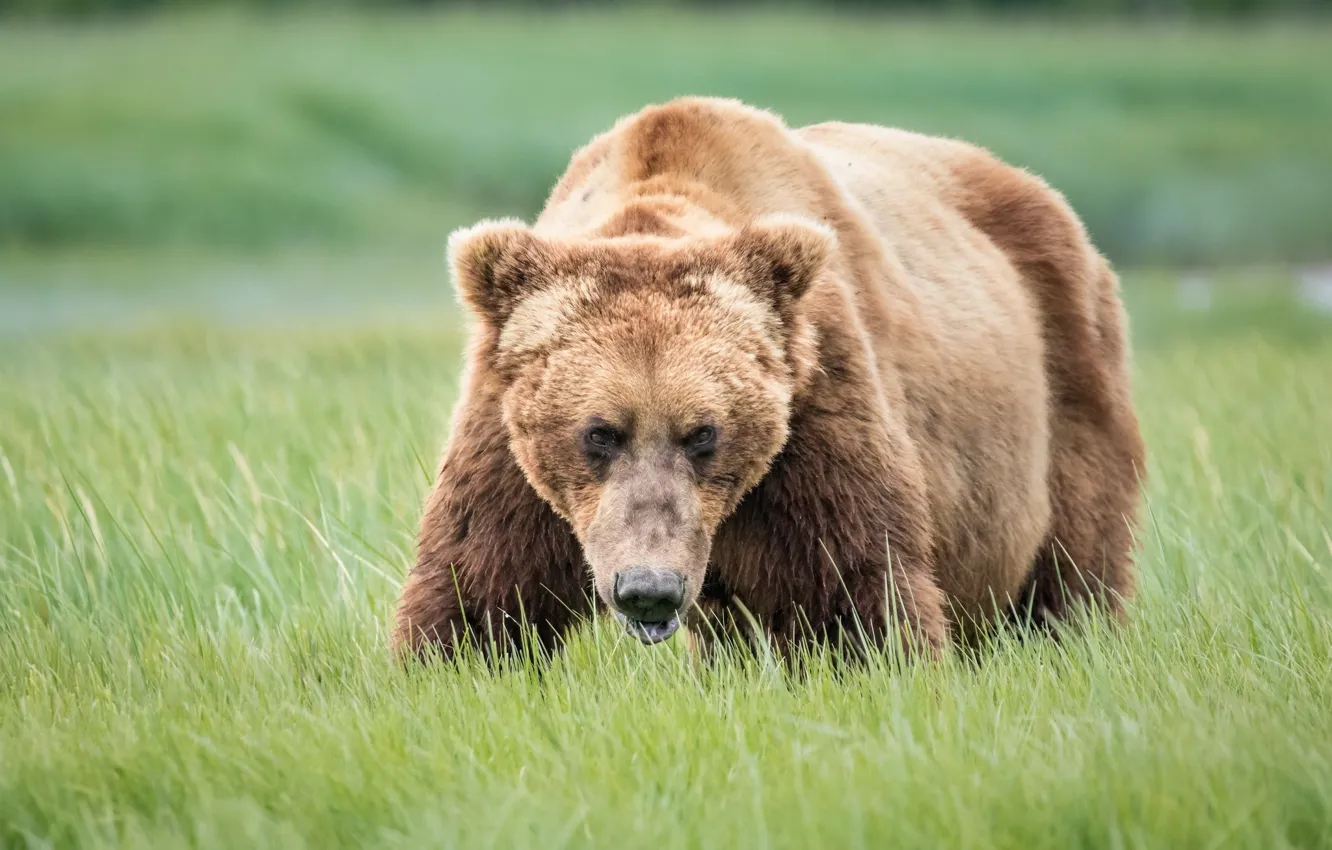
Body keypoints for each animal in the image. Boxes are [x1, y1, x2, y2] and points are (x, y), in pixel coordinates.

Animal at [391, 96, 1145, 663]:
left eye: (704, 433)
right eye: (598, 432)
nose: (648, 589)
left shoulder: (814, 401)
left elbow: (850, 581)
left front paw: (875, 662)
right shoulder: (506, 432)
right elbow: (480, 582)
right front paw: (449, 663)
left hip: (1064, 381)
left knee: (1073, 561)